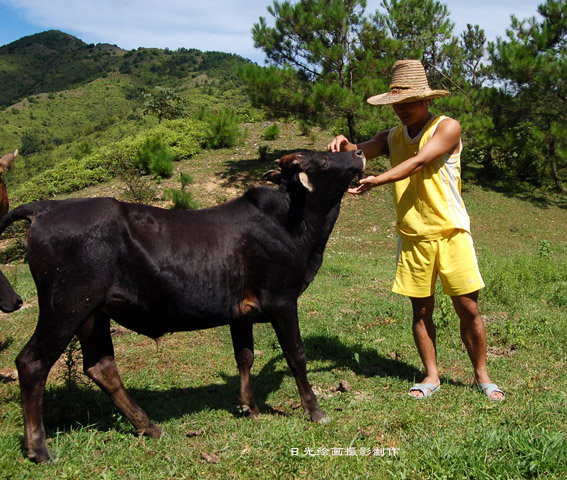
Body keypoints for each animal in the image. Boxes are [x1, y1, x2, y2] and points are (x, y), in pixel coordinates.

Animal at [0, 149, 366, 462]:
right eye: (324, 160)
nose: (360, 152)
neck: (294, 226)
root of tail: (45, 207)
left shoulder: (240, 313)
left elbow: (245, 356)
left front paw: (250, 408)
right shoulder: (281, 300)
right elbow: (296, 356)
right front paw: (315, 411)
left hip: (93, 314)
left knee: (101, 367)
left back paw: (148, 426)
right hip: (66, 307)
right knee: (32, 364)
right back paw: (39, 449)